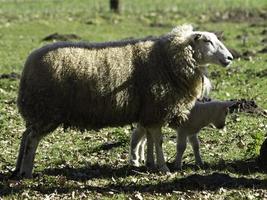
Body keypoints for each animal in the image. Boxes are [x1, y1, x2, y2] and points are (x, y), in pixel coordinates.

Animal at [13, 23, 233, 178]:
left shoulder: (150, 111)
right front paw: (163, 167)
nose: (230, 58)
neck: (167, 59)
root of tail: (29, 61)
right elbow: (159, 141)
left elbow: (150, 140)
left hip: (37, 112)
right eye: (207, 41)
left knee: (25, 136)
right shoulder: (156, 108)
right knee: (32, 139)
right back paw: (27, 171)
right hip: (46, 110)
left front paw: (150, 164)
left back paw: (17, 169)